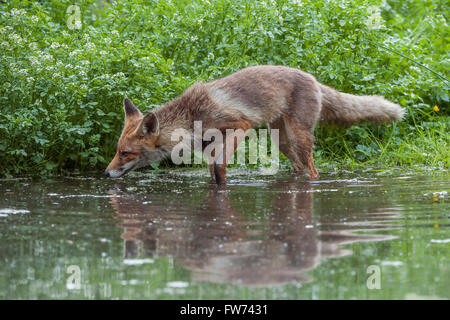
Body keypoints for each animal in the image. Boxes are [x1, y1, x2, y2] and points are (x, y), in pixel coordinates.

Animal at [105, 65, 404, 184]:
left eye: (125, 153)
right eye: (117, 151)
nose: (106, 173)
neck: (191, 115)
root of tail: (314, 79)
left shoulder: (240, 124)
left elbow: (220, 167)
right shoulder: (209, 145)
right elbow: (212, 171)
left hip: (299, 137)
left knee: (313, 171)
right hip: (281, 141)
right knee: (297, 168)